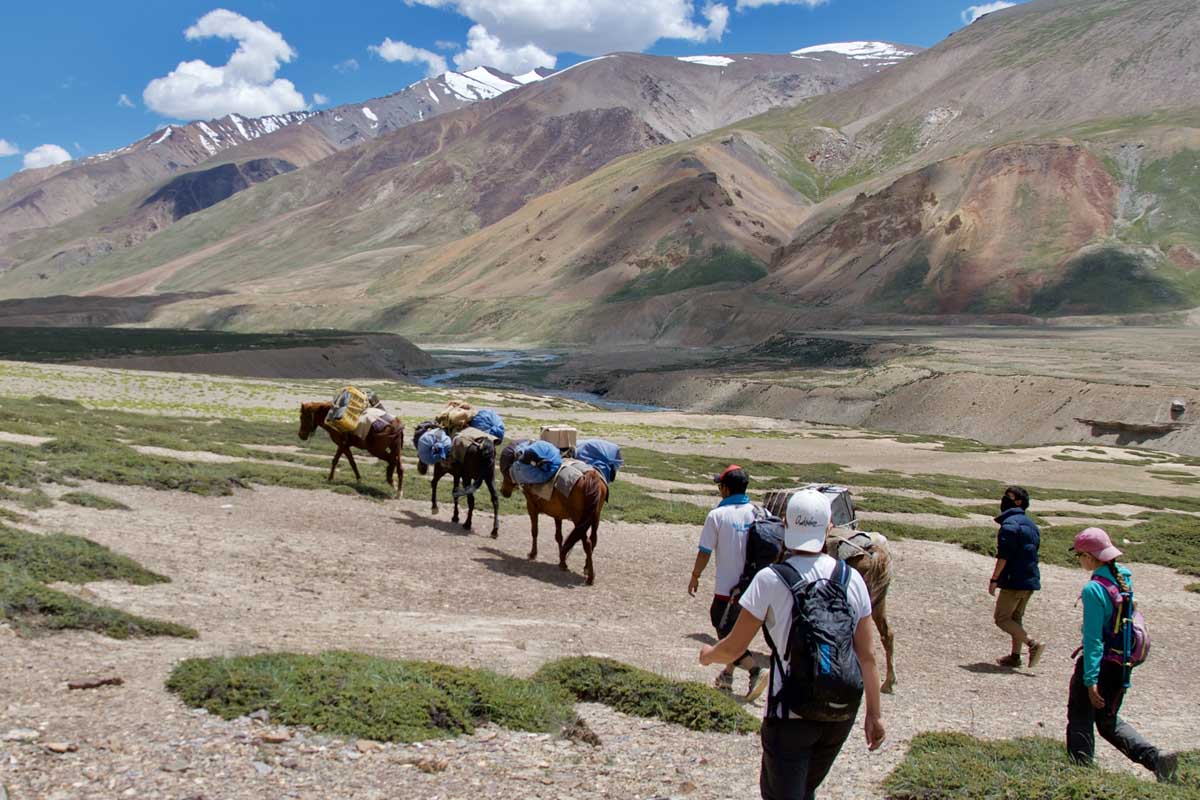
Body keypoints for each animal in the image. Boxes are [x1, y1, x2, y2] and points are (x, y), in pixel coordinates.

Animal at [496, 441, 609, 585]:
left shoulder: (531, 507)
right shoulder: (557, 514)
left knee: (587, 543)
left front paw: (533, 554)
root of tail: (591, 475)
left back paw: (590, 578)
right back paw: (587, 568)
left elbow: (535, 531)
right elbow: (559, 536)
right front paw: (562, 561)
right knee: (593, 540)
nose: (503, 491)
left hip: (579, 519)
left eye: (506, 470)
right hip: (595, 517)